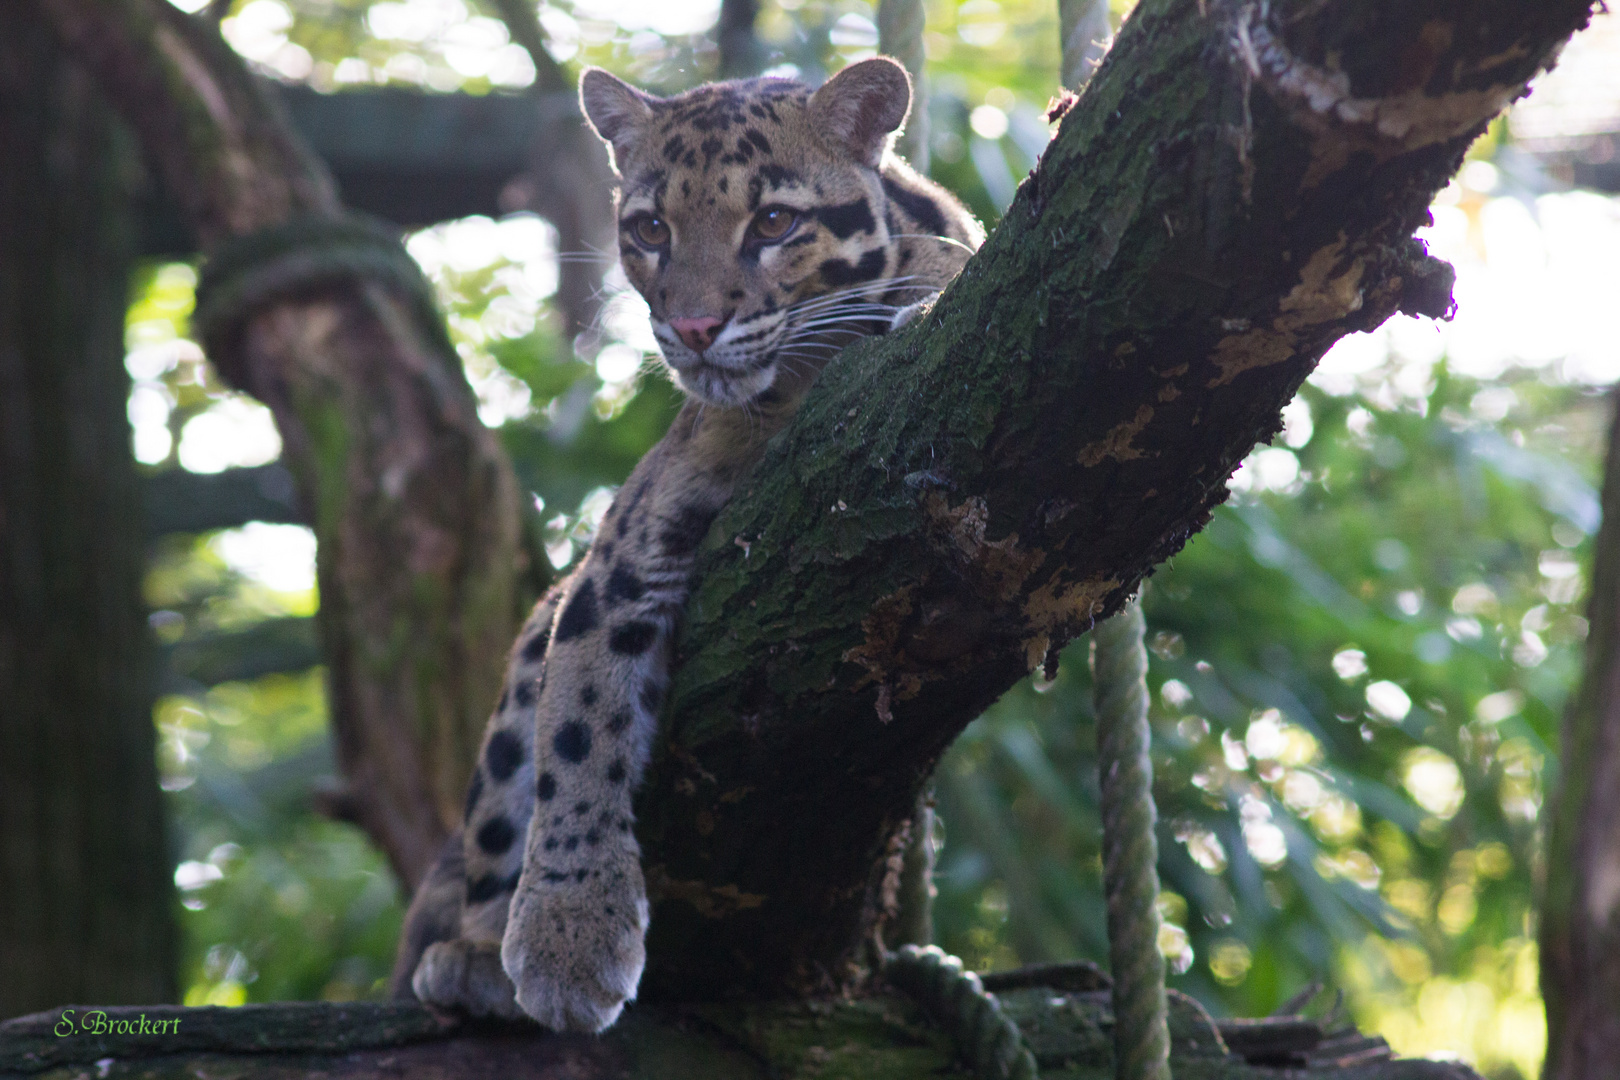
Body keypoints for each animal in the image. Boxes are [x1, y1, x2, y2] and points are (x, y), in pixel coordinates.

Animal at [392, 55, 978, 1036]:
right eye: (650, 229)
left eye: (774, 222)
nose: (697, 330)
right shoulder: (625, 555)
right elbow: (577, 729)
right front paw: (571, 933)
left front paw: (923, 281)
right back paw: (474, 953)